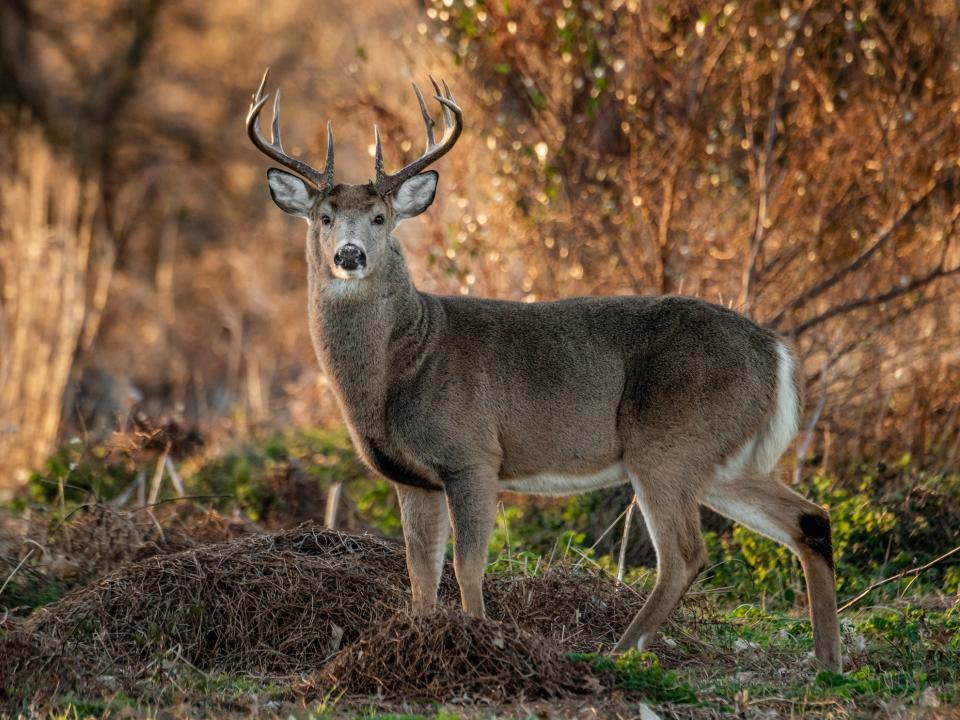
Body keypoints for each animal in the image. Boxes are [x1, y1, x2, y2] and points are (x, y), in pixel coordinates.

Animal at [246, 70, 840, 672]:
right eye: (323, 218)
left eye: (380, 218)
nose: (350, 255)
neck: (404, 365)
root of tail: (776, 351)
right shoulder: (412, 477)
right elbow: (420, 573)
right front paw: (416, 639)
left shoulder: (473, 454)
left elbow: (466, 566)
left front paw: (477, 640)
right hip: (722, 457)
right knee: (809, 520)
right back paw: (827, 663)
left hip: (668, 442)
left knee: (685, 554)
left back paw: (617, 653)